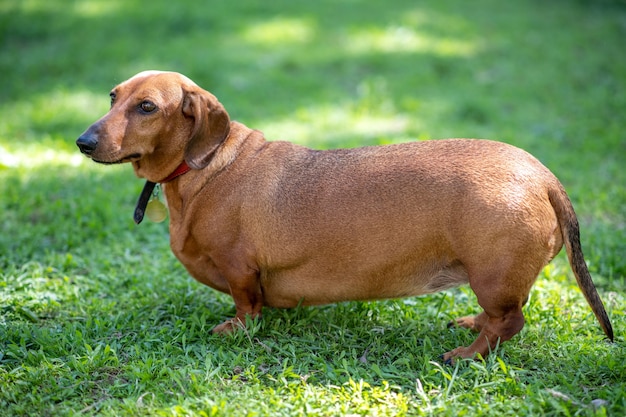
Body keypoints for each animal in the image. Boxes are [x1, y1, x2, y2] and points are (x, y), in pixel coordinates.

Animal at [74, 70, 608, 360]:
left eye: (147, 107)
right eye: (113, 97)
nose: (83, 142)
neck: (207, 169)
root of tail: (542, 175)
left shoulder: (240, 268)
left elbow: (247, 306)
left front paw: (235, 329)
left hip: (492, 274)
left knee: (510, 322)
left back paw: (466, 356)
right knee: (502, 316)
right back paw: (472, 326)